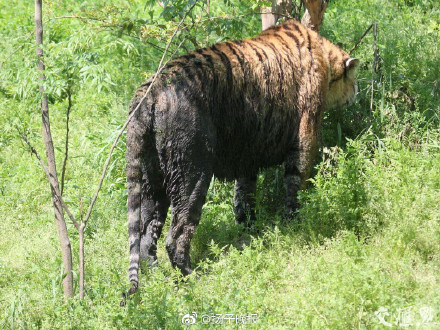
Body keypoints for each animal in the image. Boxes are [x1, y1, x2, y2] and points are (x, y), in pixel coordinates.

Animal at [125, 19, 360, 296]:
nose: (355, 93)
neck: (325, 55)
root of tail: (148, 93)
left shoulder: (247, 157)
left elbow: (244, 196)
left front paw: (249, 233)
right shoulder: (306, 134)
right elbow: (296, 183)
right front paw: (294, 223)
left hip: (153, 177)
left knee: (145, 234)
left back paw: (157, 279)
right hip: (191, 173)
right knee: (177, 234)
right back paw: (192, 278)